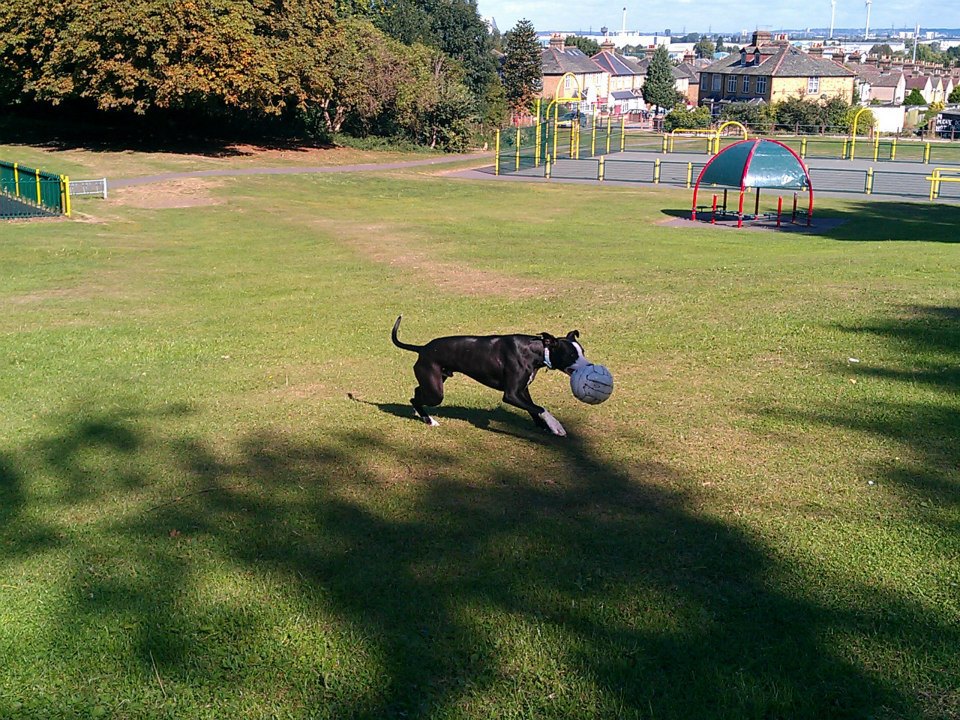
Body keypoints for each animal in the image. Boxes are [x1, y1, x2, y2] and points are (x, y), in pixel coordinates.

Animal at [392, 316, 592, 438]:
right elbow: (540, 408)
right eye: (571, 355)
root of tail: (422, 349)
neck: (535, 350)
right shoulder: (511, 395)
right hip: (435, 393)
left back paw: (419, 413)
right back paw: (428, 419)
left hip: (435, 382)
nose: (590, 366)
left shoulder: (522, 390)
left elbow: (533, 408)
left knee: (417, 391)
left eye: (583, 351)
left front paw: (543, 426)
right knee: (415, 397)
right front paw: (556, 425)